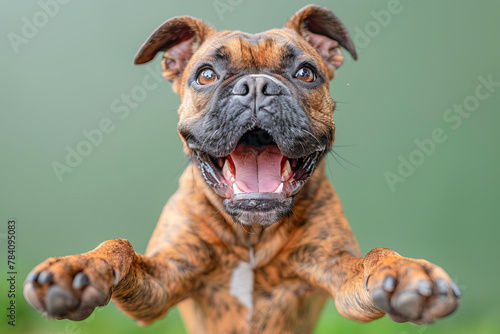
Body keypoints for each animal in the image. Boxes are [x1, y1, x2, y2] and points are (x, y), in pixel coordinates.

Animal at [24, 5, 460, 334]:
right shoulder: (161, 284)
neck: (250, 234)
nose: (255, 87)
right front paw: (78, 267)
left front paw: (406, 274)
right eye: (205, 74)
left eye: (306, 72)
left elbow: (373, 256)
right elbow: (121, 247)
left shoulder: (339, 275)